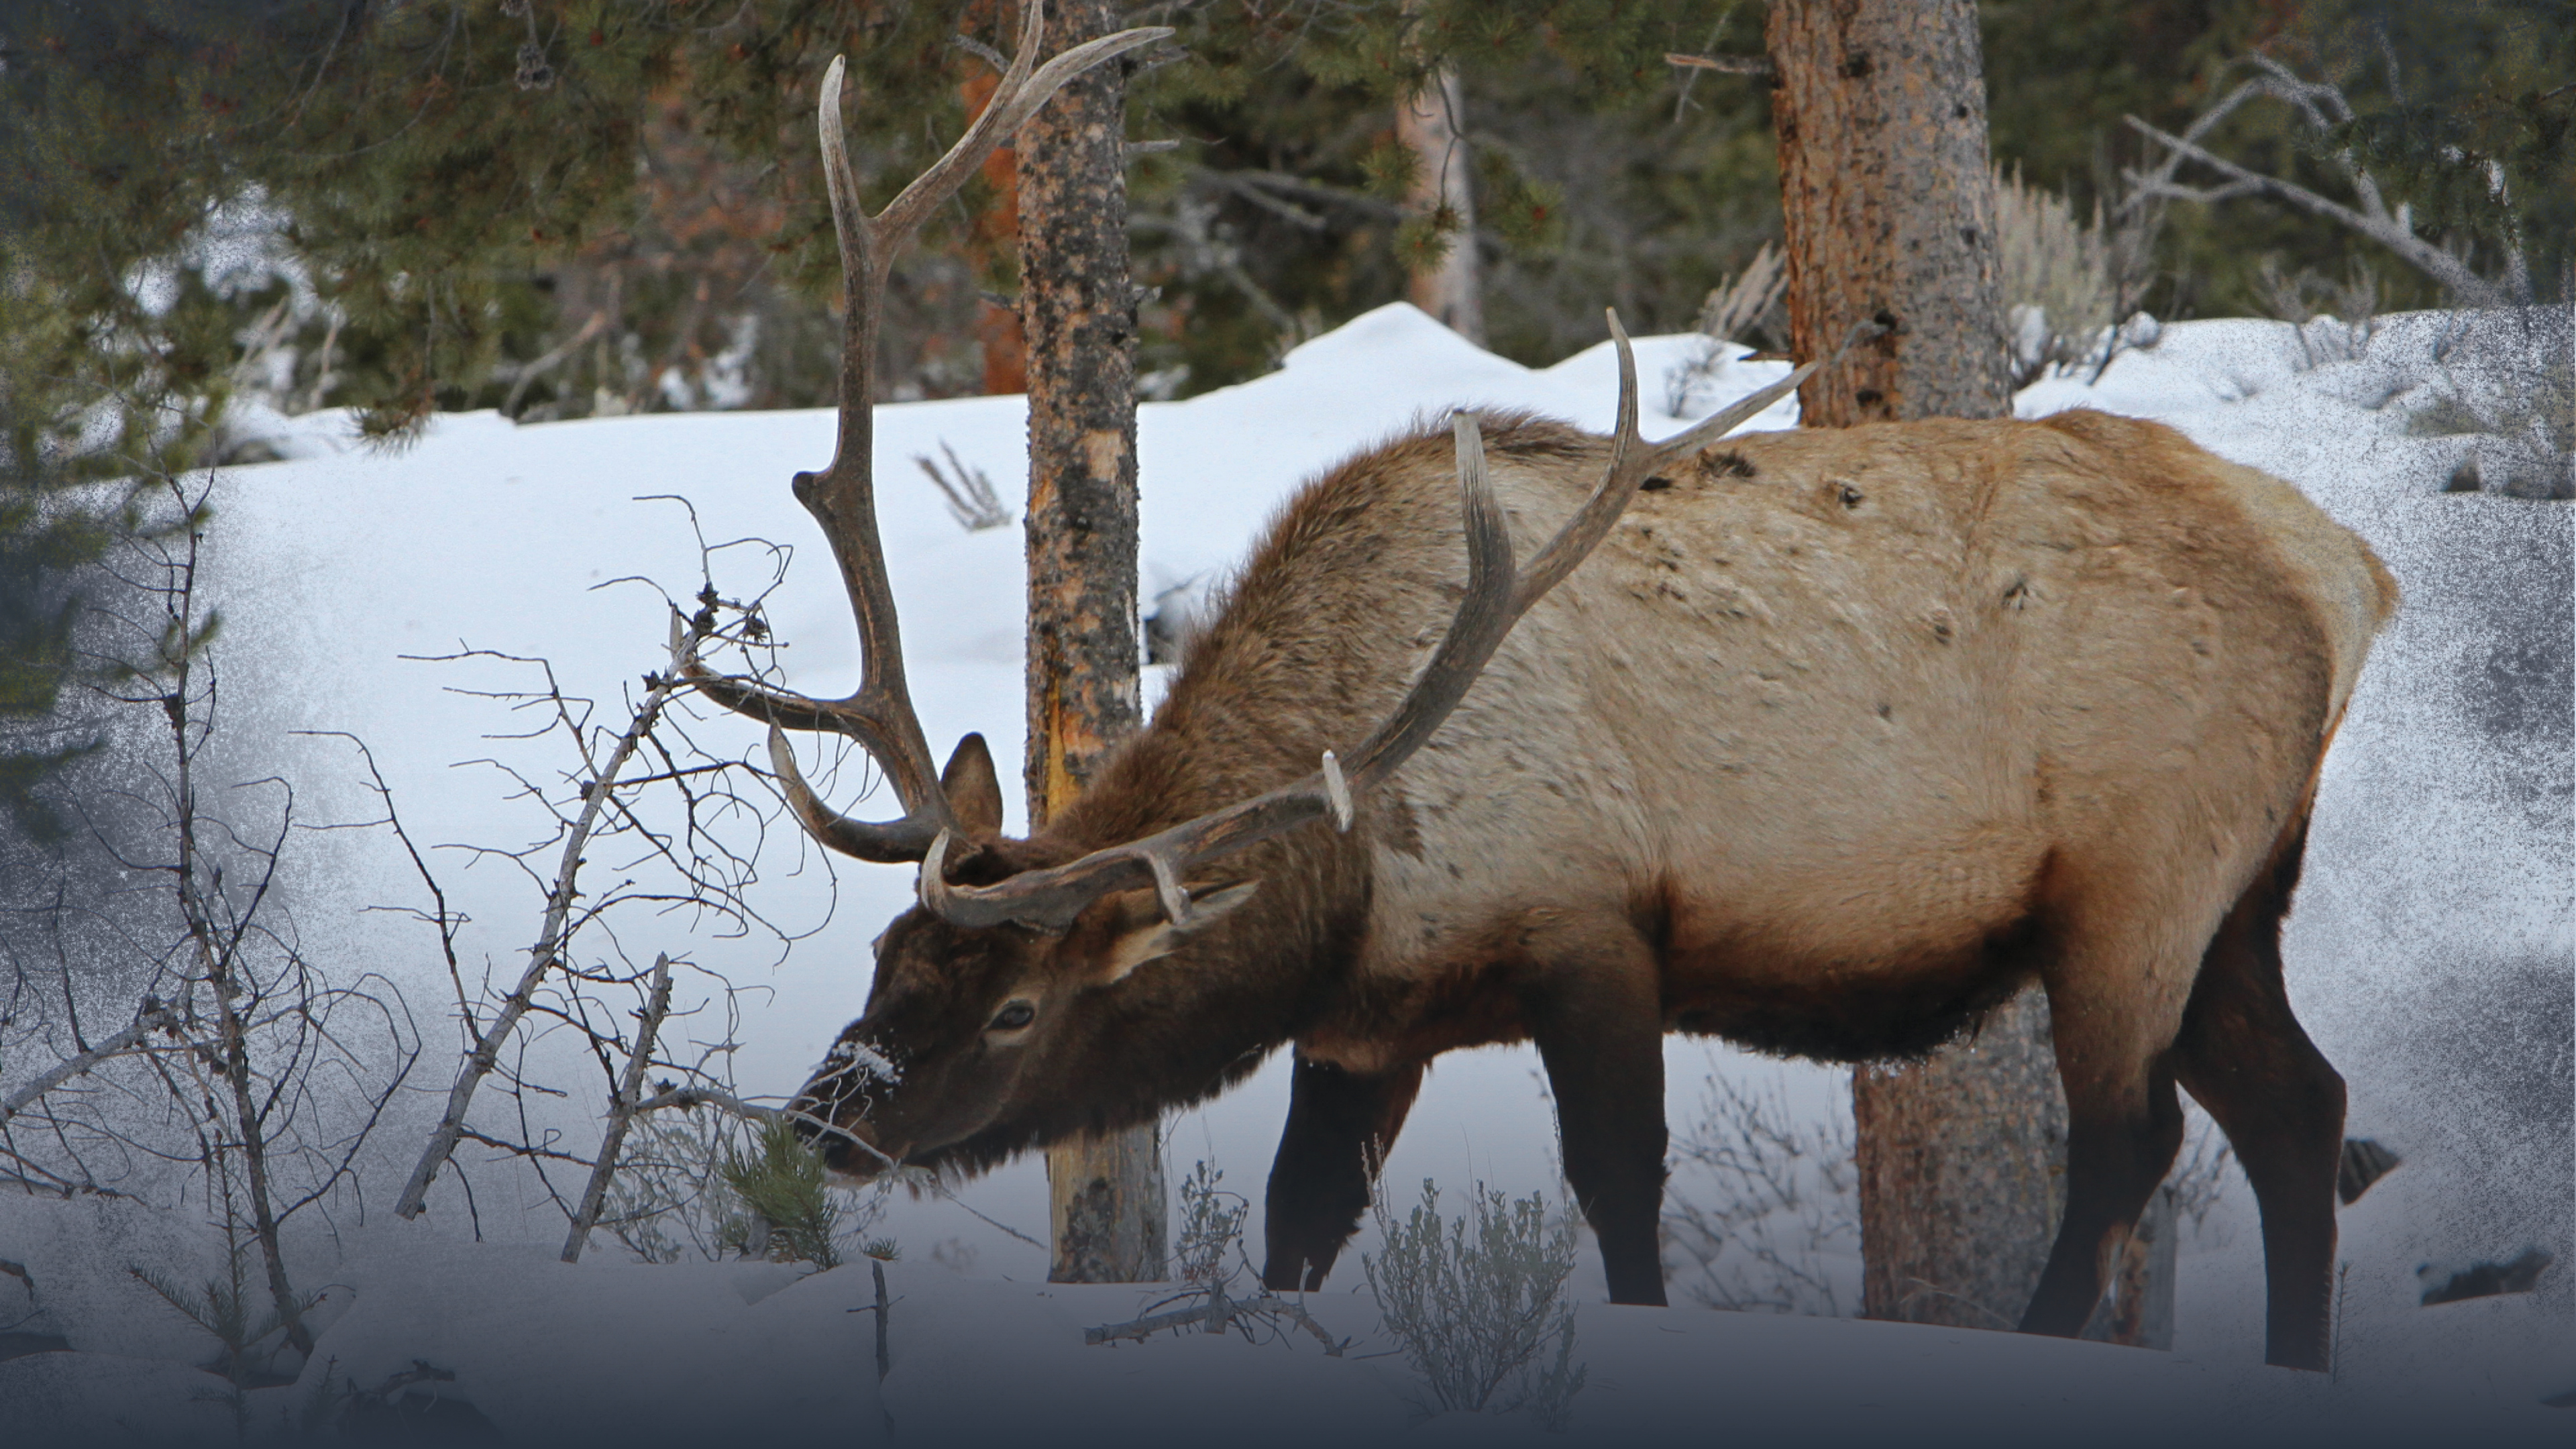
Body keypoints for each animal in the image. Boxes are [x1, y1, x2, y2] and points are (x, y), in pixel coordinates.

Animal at [685, 6, 2398, 1373]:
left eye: (1016, 1007)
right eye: (888, 956)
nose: (820, 1123)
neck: (1351, 859)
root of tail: (2343, 569)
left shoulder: (1592, 922)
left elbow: (1620, 1195)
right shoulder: (1371, 1016)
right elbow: (1298, 1221)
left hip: (2135, 877)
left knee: (2131, 1141)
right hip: (2240, 888)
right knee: (2300, 1109)